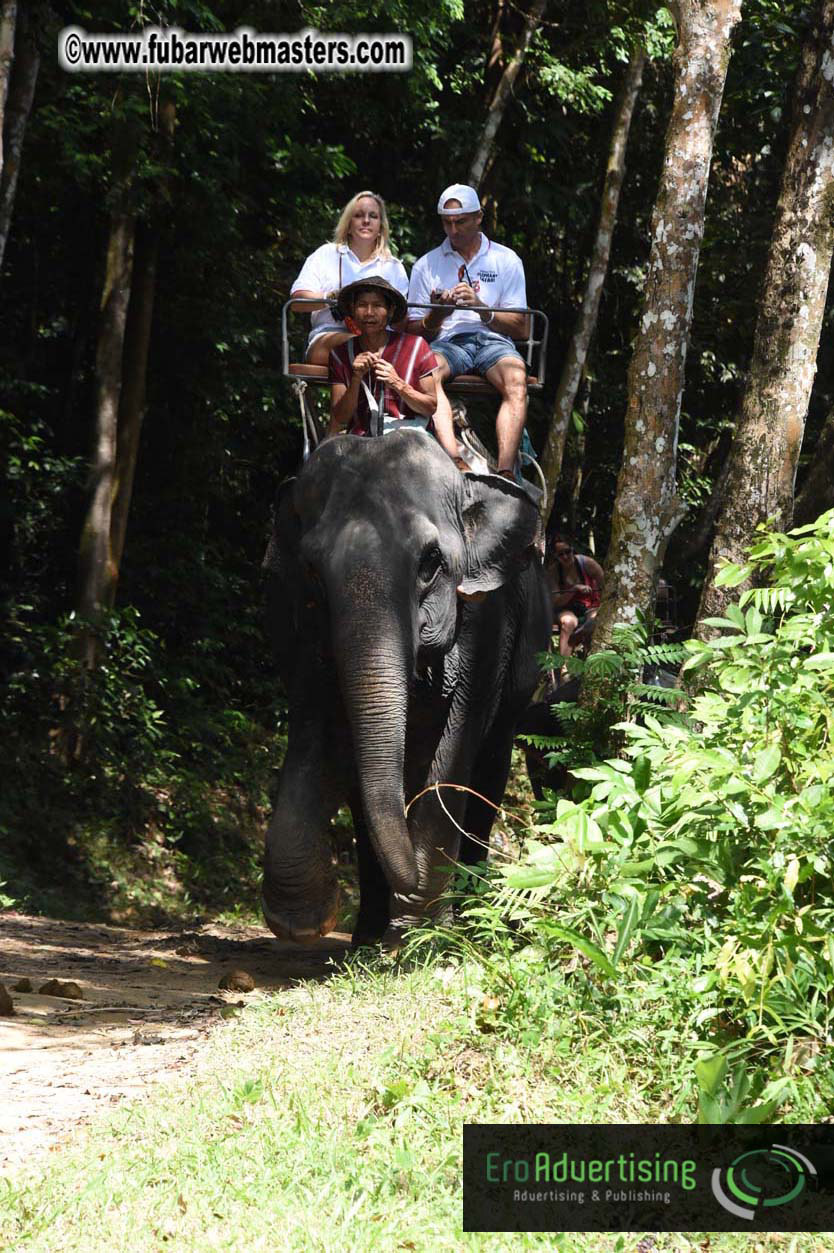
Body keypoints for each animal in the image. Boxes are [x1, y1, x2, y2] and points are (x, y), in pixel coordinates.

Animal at [262, 429, 551, 947]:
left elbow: (453, 757)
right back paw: (367, 939)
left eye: (430, 564)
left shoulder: (486, 625)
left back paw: (468, 923)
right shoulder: (291, 620)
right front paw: (308, 920)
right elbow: (315, 731)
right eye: (312, 571)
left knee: (490, 769)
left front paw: (421, 937)